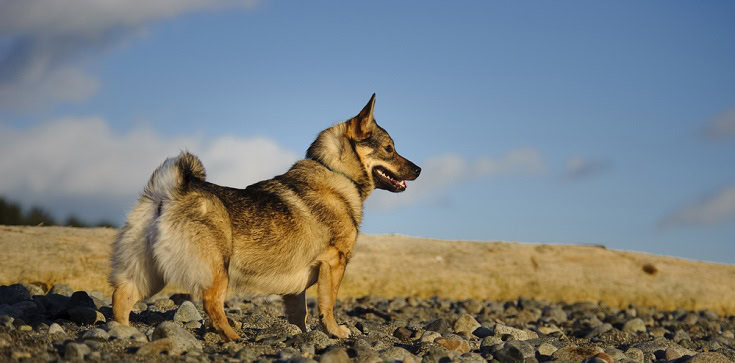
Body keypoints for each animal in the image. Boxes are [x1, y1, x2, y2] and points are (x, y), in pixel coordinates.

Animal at [107, 94, 422, 342]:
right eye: (389, 149)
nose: (419, 169)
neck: (336, 171)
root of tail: (170, 192)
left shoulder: (299, 287)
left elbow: (300, 313)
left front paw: (303, 334)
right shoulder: (335, 263)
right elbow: (328, 305)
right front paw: (335, 331)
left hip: (148, 273)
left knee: (121, 298)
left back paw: (124, 332)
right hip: (216, 269)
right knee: (212, 305)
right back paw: (233, 337)